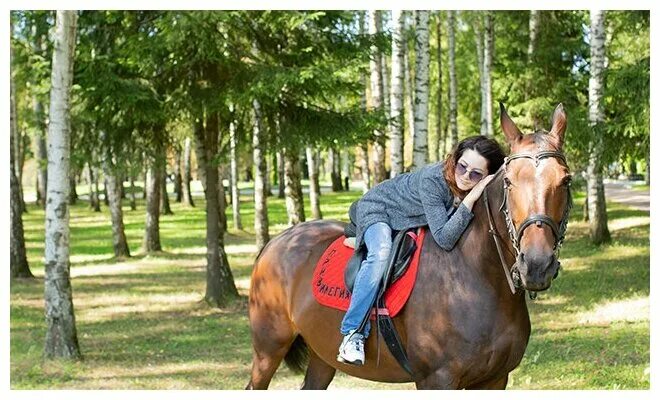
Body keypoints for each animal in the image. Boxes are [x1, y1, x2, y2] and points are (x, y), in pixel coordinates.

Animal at [245, 104, 568, 390]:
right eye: (509, 182)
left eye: (565, 180)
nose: (537, 264)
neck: (477, 278)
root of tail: (275, 243)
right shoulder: (437, 380)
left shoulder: (494, 379)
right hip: (268, 349)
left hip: (321, 354)